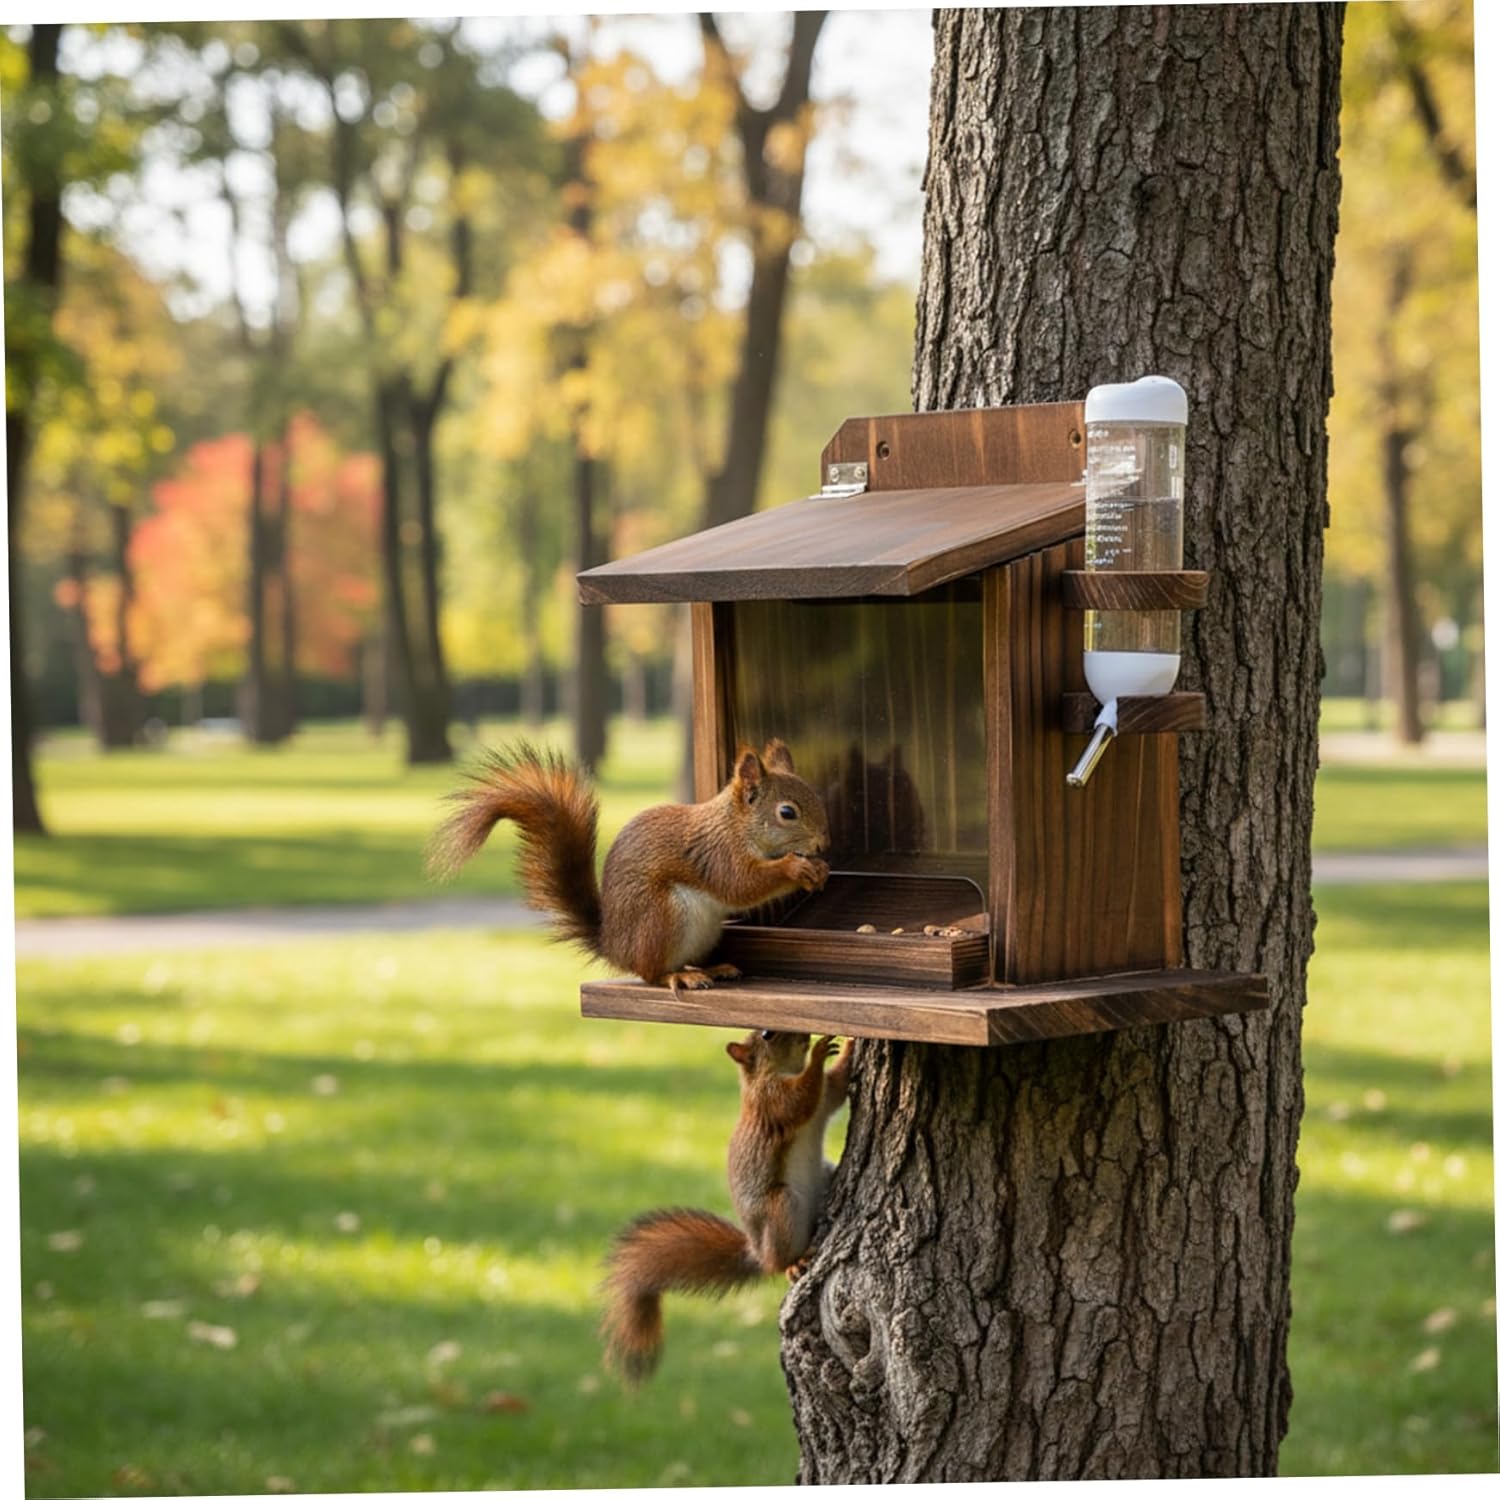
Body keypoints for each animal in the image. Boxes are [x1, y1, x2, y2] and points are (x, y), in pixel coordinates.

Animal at [426, 738, 832, 992]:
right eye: (787, 813)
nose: (823, 843)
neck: (737, 827)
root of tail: (613, 945)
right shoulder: (717, 854)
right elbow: (740, 885)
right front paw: (795, 869)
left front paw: (820, 869)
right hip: (660, 917)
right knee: (651, 973)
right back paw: (679, 978)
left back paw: (710, 969)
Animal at [600, 1029, 852, 1384]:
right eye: (767, 1034)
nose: (804, 1034)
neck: (782, 1071)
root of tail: (758, 1251)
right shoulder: (769, 1100)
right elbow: (797, 1102)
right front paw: (818, 1053)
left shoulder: (826, 1095)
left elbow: (837, 1086)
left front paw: (852, 1046)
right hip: (781, 1207)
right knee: (778, 1261)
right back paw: (793, 1263)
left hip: (824, 1176)